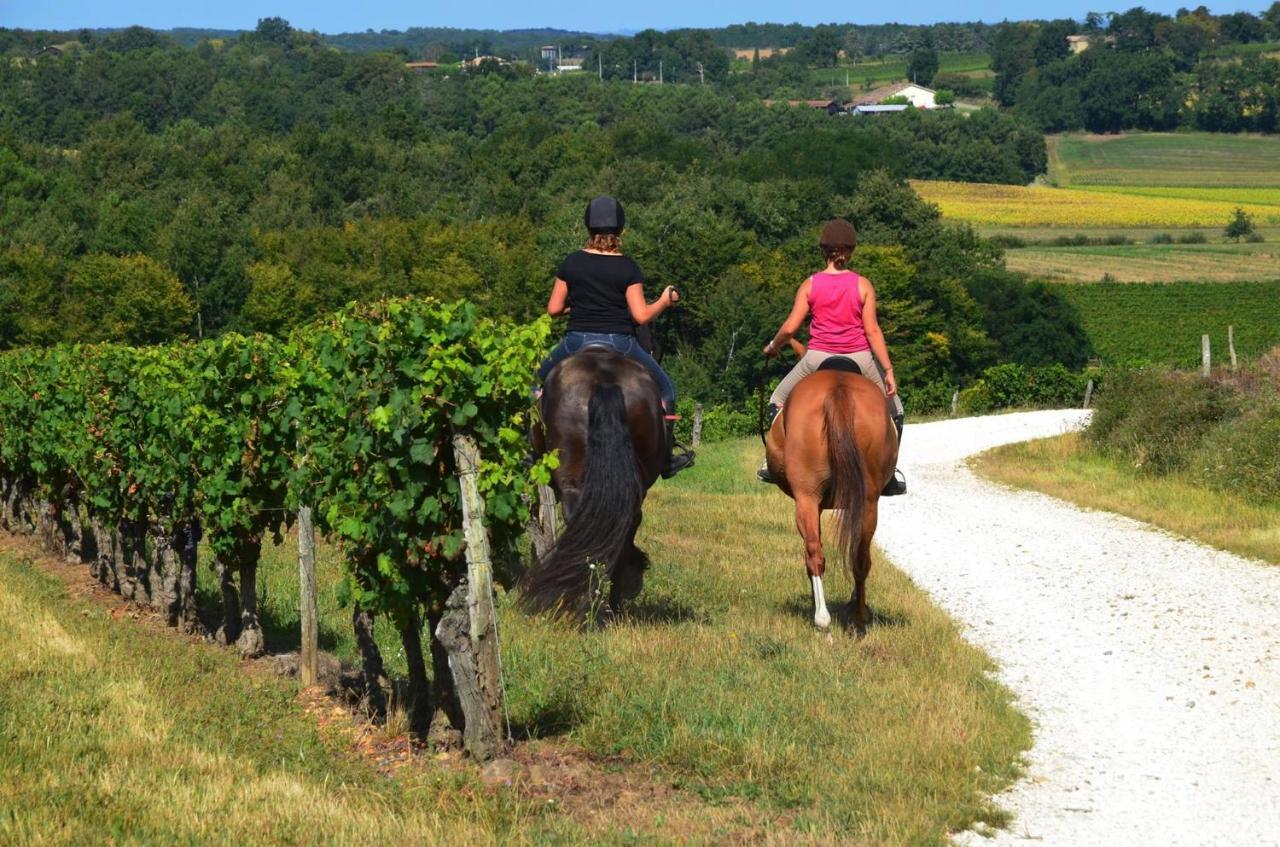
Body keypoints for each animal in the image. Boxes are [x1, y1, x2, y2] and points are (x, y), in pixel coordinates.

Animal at [762, 360, 896, 634]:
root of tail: (838, 388)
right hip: (867, 502)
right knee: (858, 556)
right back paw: (856, 616)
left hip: (807, 497)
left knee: (816, 554)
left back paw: (825, 617)